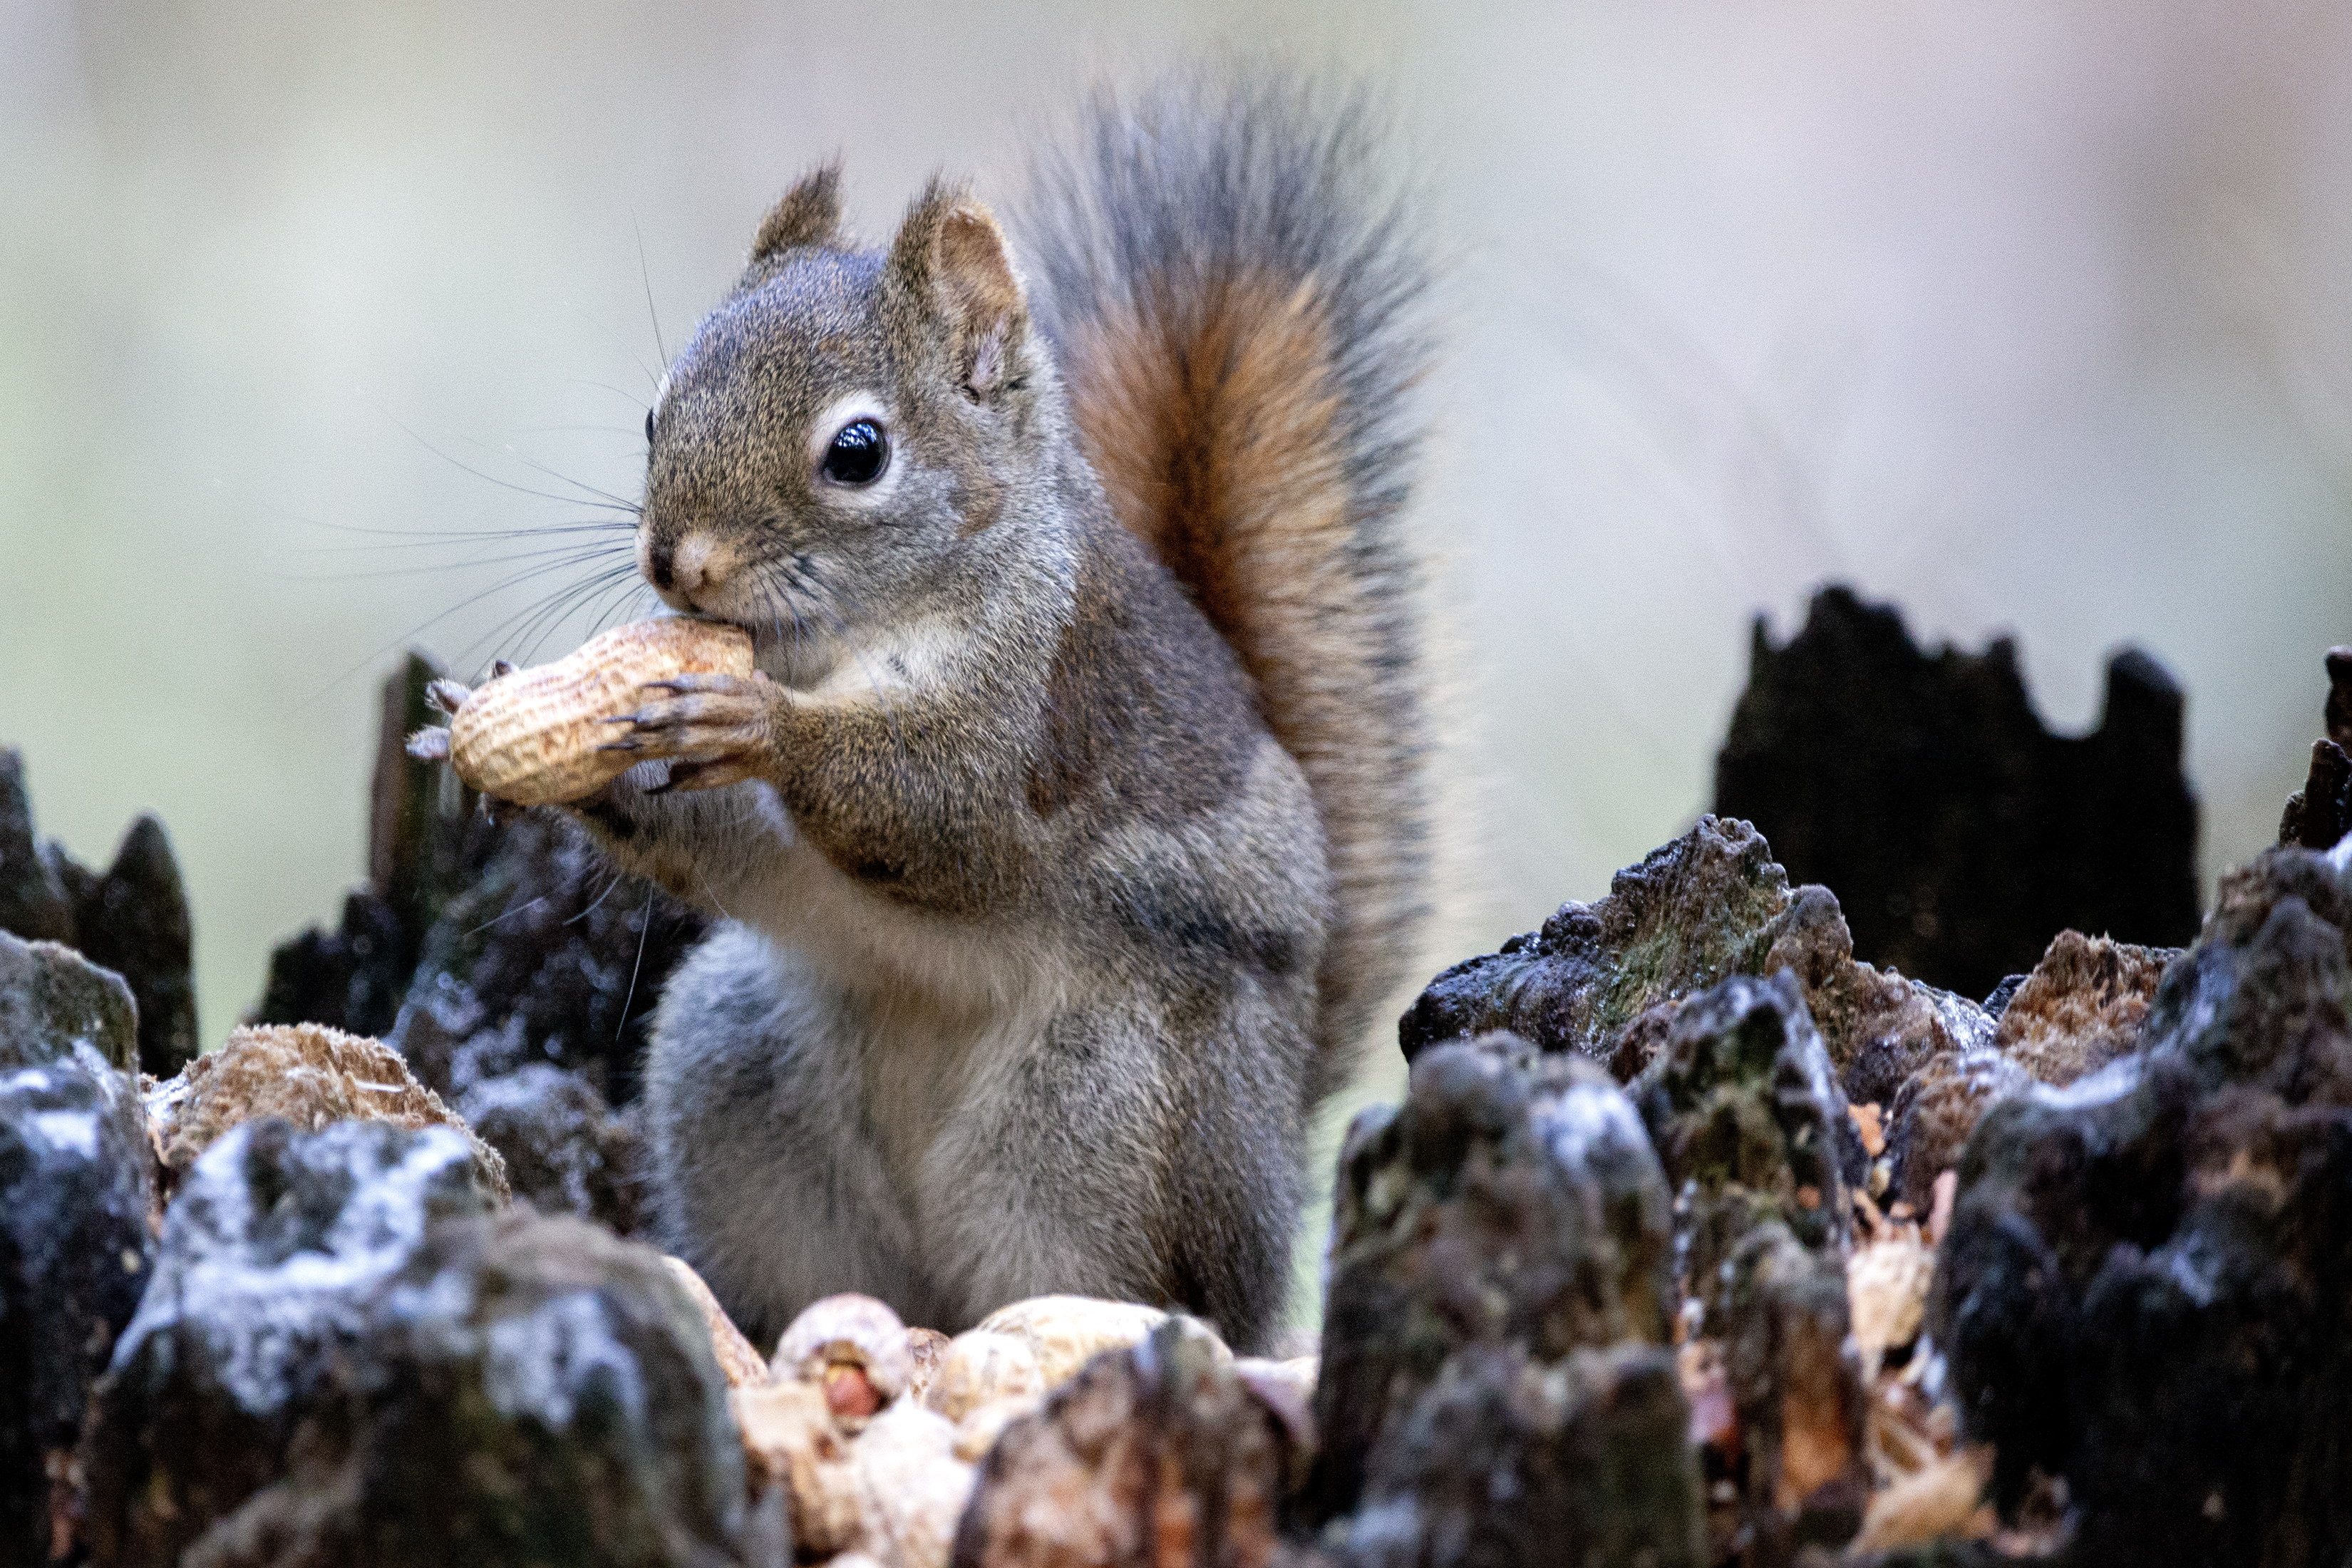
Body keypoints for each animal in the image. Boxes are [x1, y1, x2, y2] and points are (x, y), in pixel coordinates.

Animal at [464, 77, 1432, 1353]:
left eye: (857, 452)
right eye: (655, 415)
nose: (676, 563)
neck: (838, 648)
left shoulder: (1034, 705)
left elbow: (943, 817)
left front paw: (756, 723)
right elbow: (726, 854)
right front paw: (540, 738)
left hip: (1110, 1107)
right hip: (738, 1062)